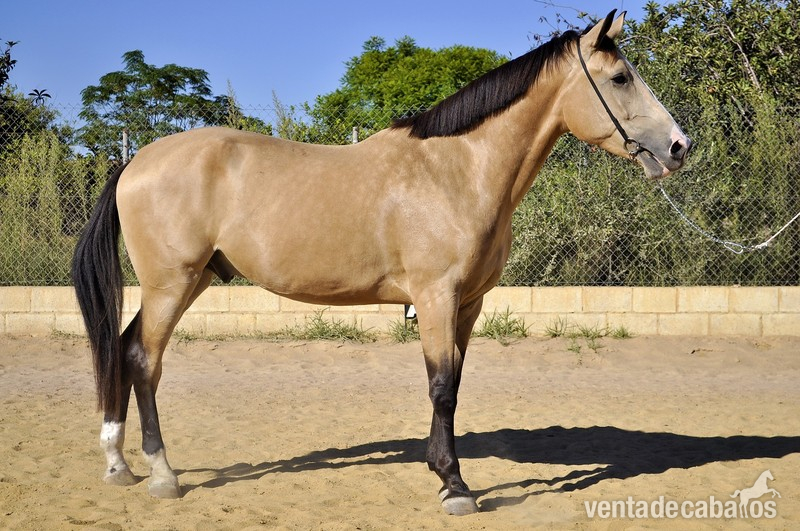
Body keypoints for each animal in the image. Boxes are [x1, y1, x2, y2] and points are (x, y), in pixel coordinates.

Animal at [72, 11, 690, 516]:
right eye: (620, 77)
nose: (679, 146)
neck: (456, 170)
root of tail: (134, 161)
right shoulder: (436, 296)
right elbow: (440, 386)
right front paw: (455, 487)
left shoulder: (468, 304)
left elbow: (453, 384)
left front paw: (442, 470)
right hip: (170, 284)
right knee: (143, 359)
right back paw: (162, 474)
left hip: (191, 280)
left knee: (124, 350)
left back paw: (118, 464)